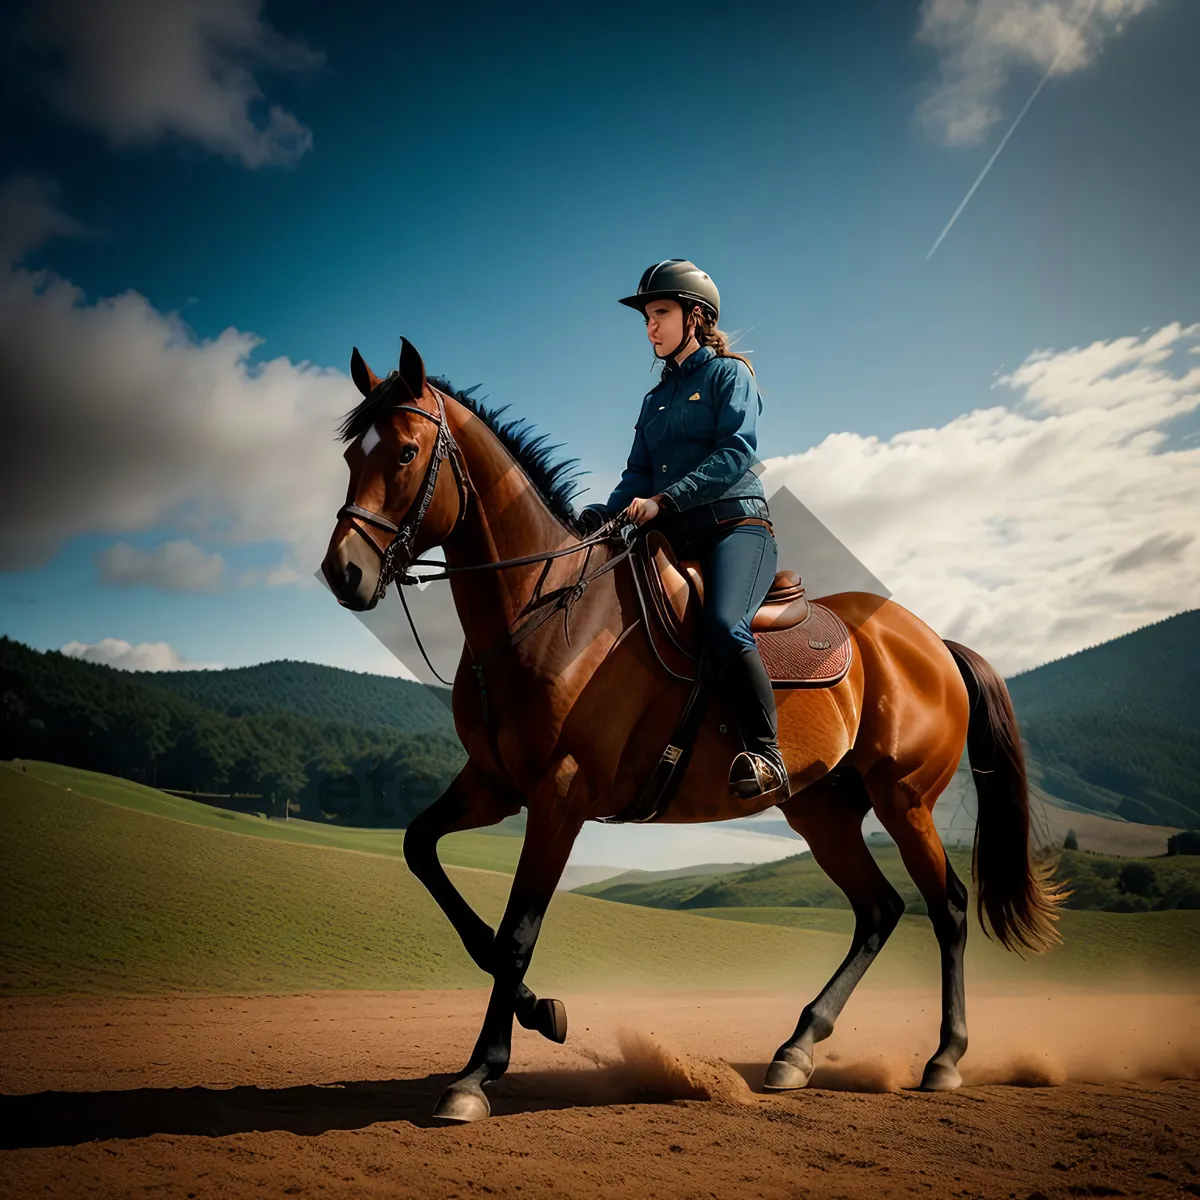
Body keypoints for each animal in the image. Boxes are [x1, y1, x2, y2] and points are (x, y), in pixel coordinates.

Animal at [324, 338, 1065, 1123]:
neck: (544, 611)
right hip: (821, 809)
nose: (344, 572)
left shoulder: (559, 796)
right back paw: (796, 1050)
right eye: (350, 456)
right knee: (878, 909)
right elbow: (427, 859)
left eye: (406, 453)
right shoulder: (495, 785)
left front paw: (476, 1074)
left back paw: (944, 1058)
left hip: (904, 798)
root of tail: (932, 644)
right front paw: (543, 1013)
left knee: (946, 908)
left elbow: (519, 930)